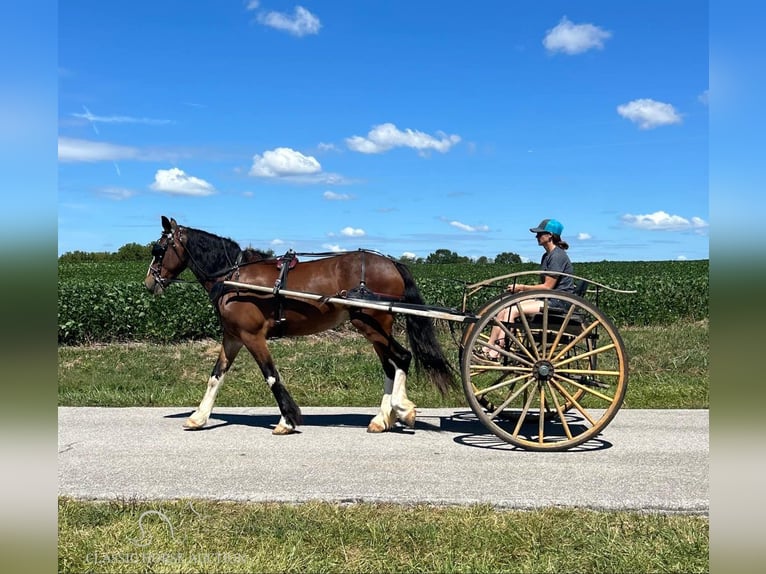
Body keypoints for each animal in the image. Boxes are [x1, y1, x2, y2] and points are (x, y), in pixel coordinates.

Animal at [147, 217, 452, 436]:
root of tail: (392, 263)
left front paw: (288, 420)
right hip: (374, 327)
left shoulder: (252, 335)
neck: (234, 278)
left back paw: (402, 410)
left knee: (402, 358)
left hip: (372, 324)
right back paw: (382, 418)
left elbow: (271, 375)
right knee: (391, 365)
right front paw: (198, 417)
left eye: (159, 249)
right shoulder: (233, 336)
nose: (149, 282)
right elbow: (216, 375)